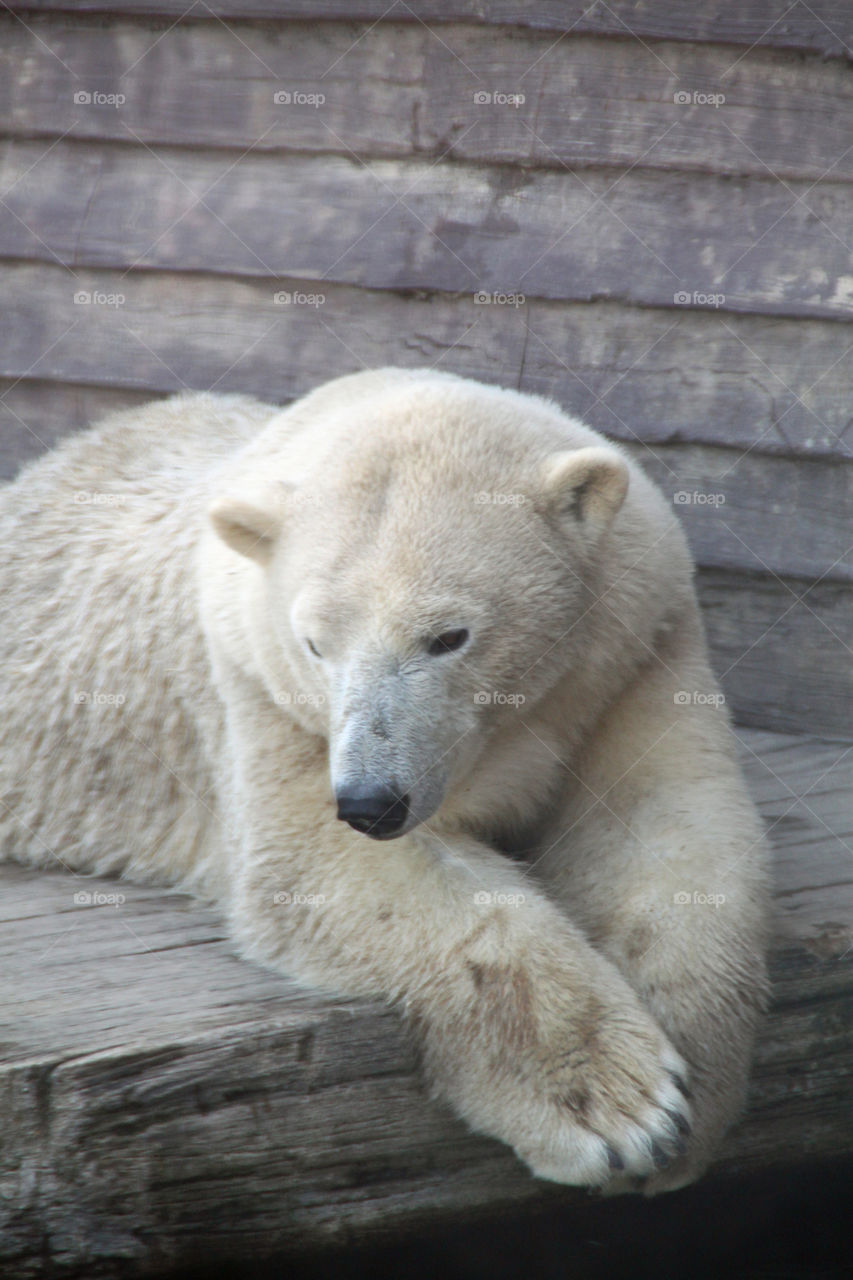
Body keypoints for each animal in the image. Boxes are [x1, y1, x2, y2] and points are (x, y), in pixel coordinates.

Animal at [0, 367, 770, 1192]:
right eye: (314, 644)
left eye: (448, 637)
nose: (371, 801)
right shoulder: (260, 689)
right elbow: (325, 866)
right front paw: (616, 1111)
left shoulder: (631, 650)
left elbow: (662, 824)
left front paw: (693, 1090)